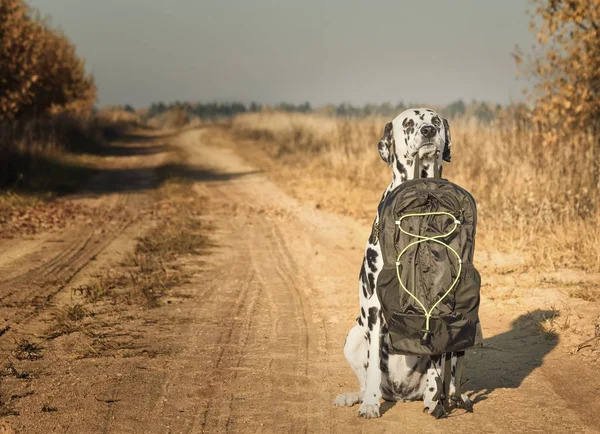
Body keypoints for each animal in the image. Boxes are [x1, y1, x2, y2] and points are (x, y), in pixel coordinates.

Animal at [330, 107, 466, 418]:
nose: (428, 131)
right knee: (367, 377)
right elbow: (372, 371)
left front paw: (435, 400)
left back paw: (451, 397)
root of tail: (401, 395)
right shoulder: (375, 308)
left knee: (449, 377)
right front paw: (369, 404)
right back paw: (357, 396)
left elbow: (436, 366)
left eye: (436, 121)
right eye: (408, 123)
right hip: (354, 336)